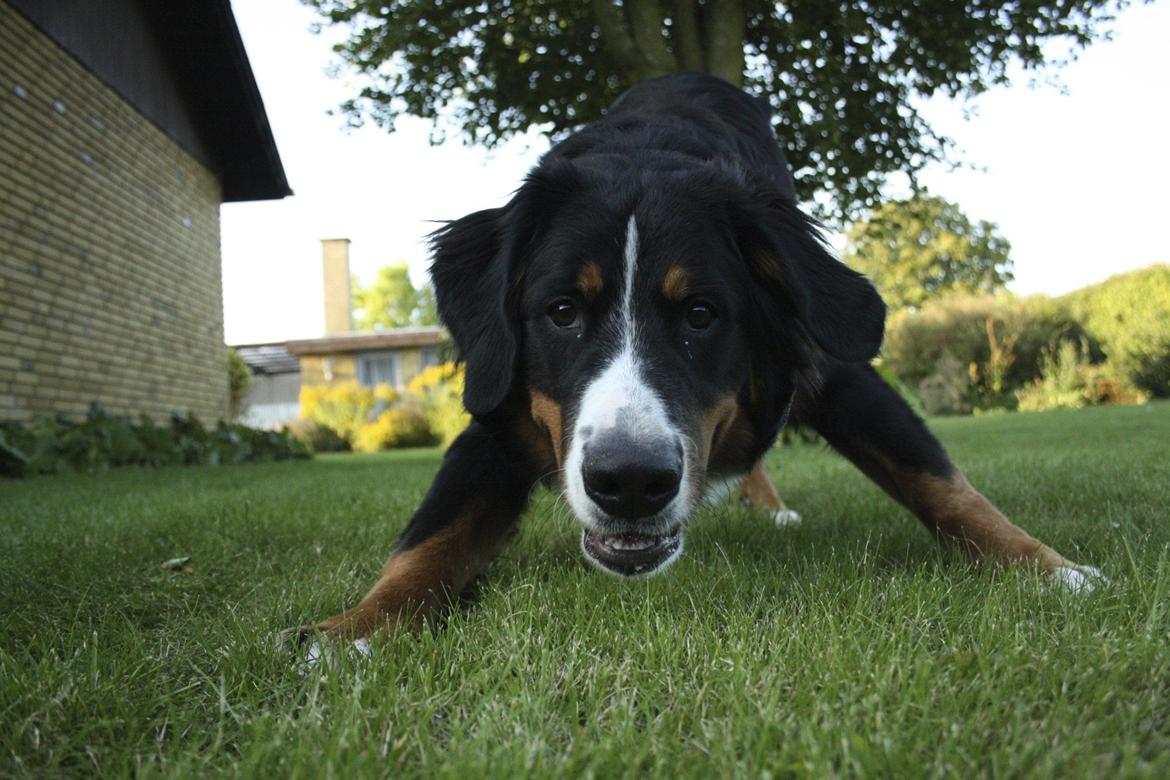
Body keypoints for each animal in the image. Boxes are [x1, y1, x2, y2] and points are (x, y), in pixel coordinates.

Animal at [280, 71, 1095, 645]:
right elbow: (430, 539)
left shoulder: (831, 367)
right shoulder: (495, 412)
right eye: (563, 312)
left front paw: (1048, 569)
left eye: (701, 315)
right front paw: (349, 630)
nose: (630, 482)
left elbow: (946, 487)